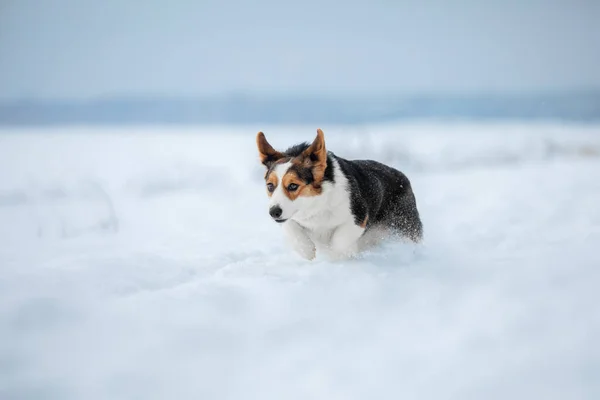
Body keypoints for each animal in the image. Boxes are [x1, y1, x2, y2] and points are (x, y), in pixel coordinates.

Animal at [256, 126, 422, 260]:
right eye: (270, 186)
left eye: (293, 186)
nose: (274, 212)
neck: (316, 204)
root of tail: (402, 176)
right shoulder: (290, 219)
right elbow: (292, 228)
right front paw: (306, 250)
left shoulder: (358, 218)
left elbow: (340, 240)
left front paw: (337, 257)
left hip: (405, 227)